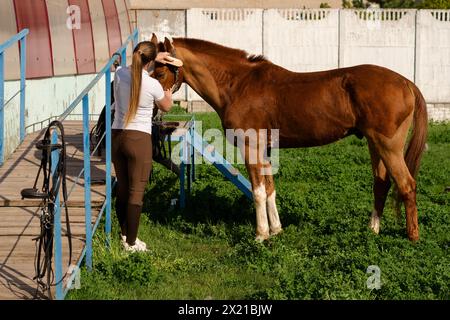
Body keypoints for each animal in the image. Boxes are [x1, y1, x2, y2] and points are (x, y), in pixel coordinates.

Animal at [150, 33, 426, 241]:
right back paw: (373, 230)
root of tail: (406, 83)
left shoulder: (251, 146)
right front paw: (276, 229)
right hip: (373, 143)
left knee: (406, 184)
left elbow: (258, 191)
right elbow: (270, 189)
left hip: (388, 145)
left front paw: (261, 235)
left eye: (160, 73)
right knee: (381, 182)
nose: (154, 105)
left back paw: (411, 237)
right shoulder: (266, 149)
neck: (237, 84)